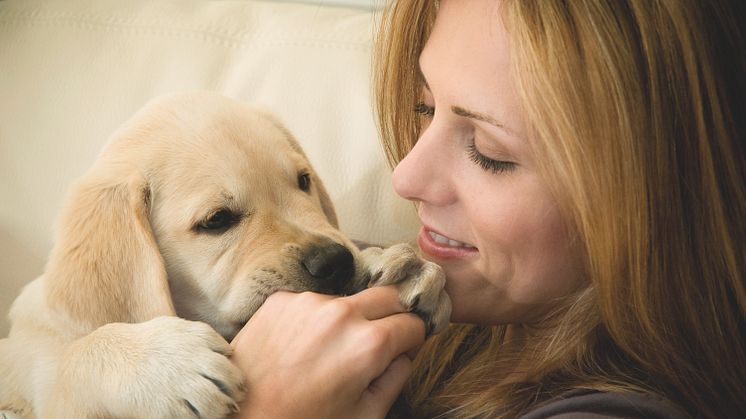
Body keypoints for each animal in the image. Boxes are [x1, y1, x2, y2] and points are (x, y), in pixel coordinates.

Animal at [0, 92, 448, 419]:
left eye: (303, 181)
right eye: (217, 220)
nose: (336, 263)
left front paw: (392, 265)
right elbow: (72, 359)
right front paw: (168, 366)